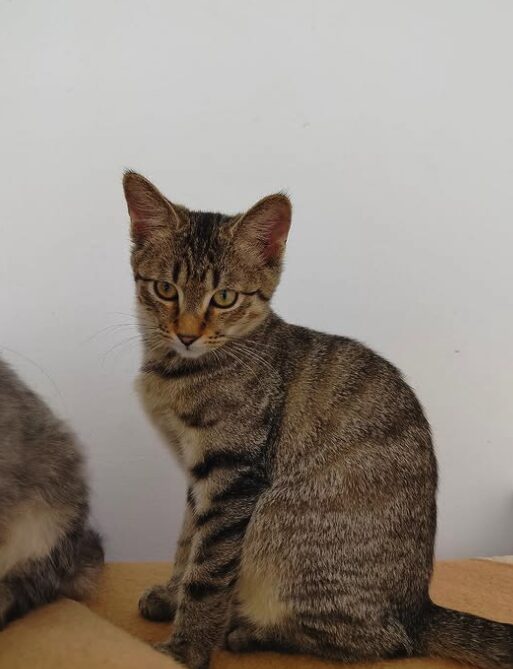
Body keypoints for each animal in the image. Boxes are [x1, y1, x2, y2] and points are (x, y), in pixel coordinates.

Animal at [122, 171, 510, 668]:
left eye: (224, 297)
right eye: (165, 289)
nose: (186, 334)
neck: (179, 371)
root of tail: (419, 608)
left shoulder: (233, 476)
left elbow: (208, 569)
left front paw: (184, 648)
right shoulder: (198, 476)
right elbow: (187, 542)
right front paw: (172, 596)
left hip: (278, 518)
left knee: (387, 642)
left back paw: (252, 632)